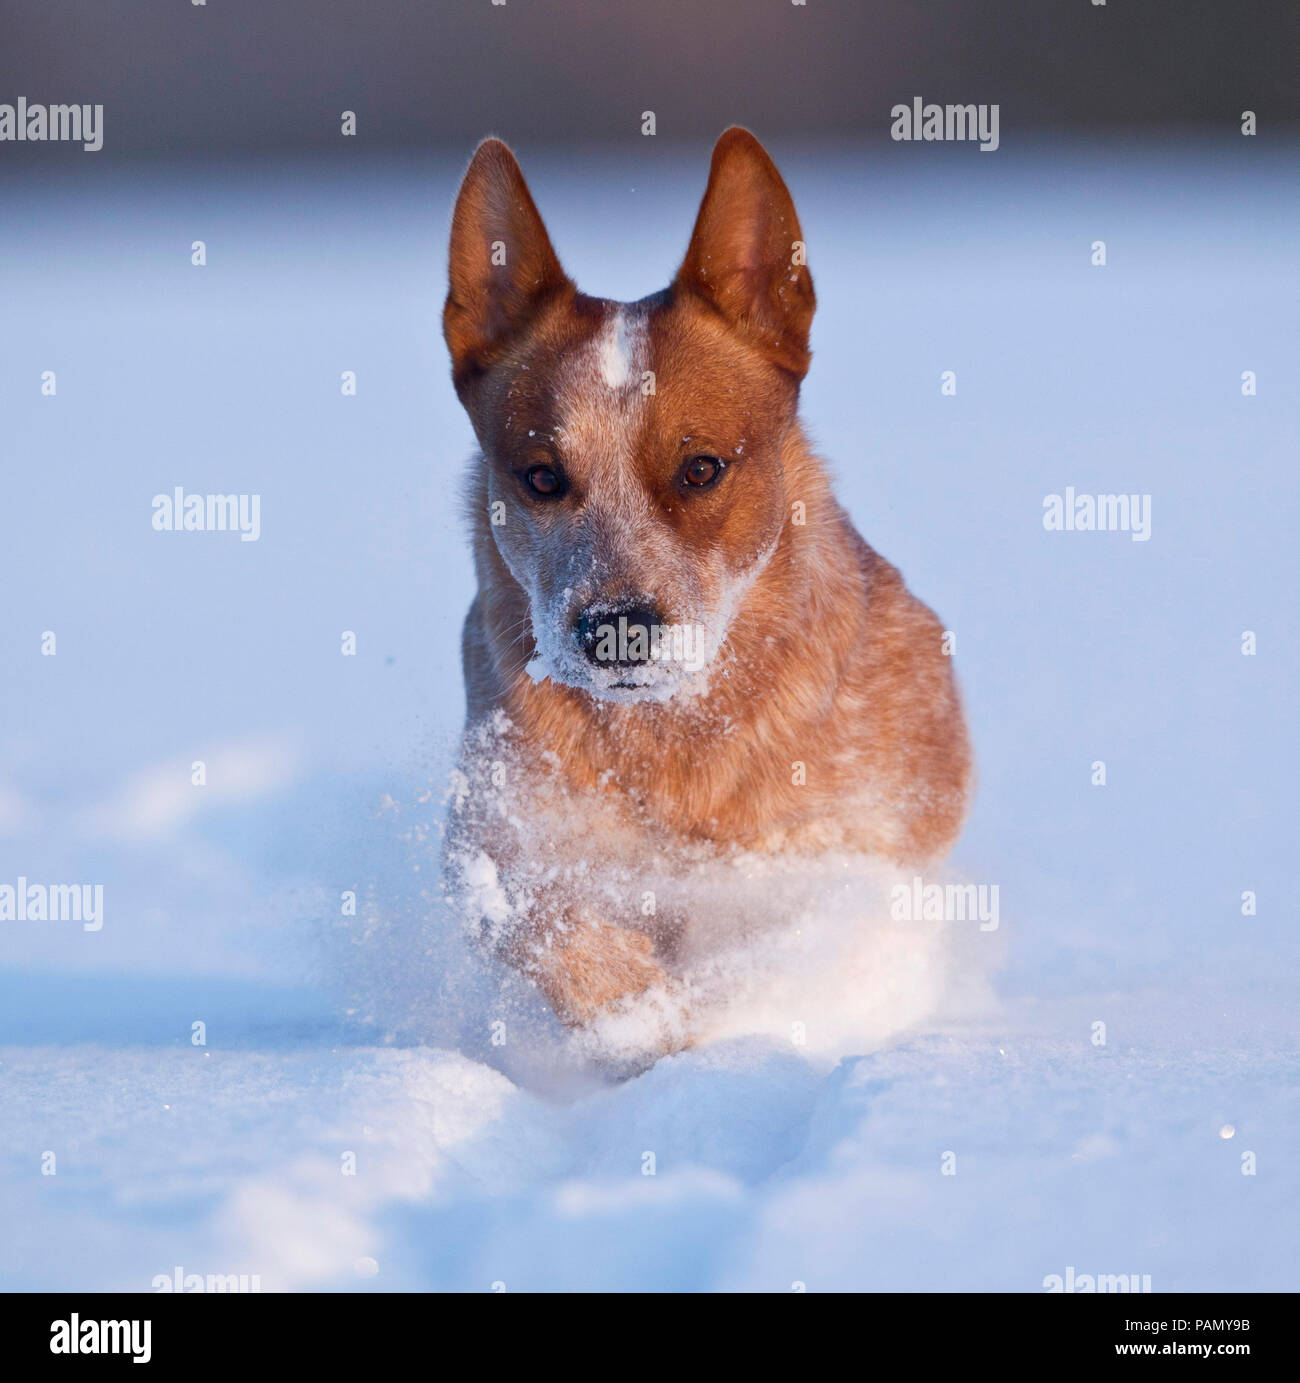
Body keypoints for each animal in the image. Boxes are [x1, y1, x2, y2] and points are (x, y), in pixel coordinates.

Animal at [442, 127, 968, 1045]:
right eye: (541, 476)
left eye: (701, 468)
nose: (616, 628)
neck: (672, 743)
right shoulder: (503, 823)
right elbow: (538, 911)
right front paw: (639, 1013)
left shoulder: (844, 841)